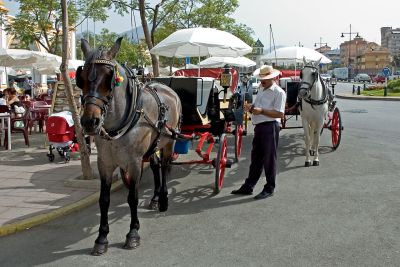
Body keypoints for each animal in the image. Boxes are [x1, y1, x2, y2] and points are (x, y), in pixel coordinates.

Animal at [77, 37, 183, 255]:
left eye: (110, 79)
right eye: (81, 78)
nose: (90, 122)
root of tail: (167, 88)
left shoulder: (134, 163)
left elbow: (132, 197)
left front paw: (133, 233)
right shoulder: (105, 163)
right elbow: (104, 199)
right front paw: (101, 237)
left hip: (170, 141)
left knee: (165, 167)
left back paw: (163, 199)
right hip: (154, 145)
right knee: (156, 166)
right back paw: (155, 198)